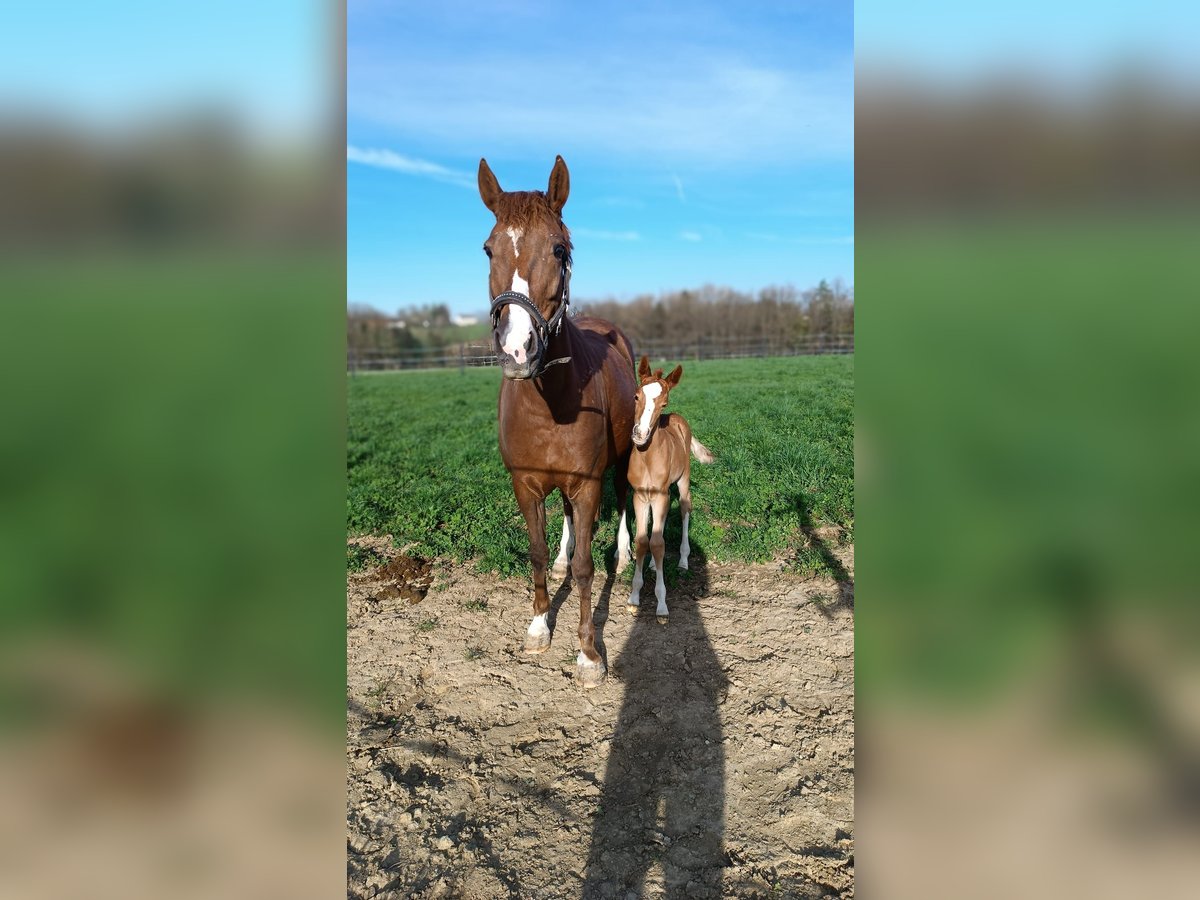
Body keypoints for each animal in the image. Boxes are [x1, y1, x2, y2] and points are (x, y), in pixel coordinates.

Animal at [478, 155, 636, 688]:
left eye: (560, 248)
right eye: (488, 249)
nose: (516, 350)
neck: (550, 404)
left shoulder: (588, 484)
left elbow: (589, 568)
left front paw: (589, 654)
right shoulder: (525, 483)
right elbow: (538, 553)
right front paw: (538, 626)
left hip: (622, 459)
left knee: (625, 498)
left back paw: (625, 556)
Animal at [625, 356, 715, 624]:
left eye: (663, 403)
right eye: (636, 396)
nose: (640, 434)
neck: (647, 458)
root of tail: (678, 418)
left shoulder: (661, 495)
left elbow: (657, 544)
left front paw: (662, 605)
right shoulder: (640, 496)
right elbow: (642, 541)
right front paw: (634, 597)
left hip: (682, 480)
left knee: (685, 509)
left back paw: (683, 561)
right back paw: (654, 565)